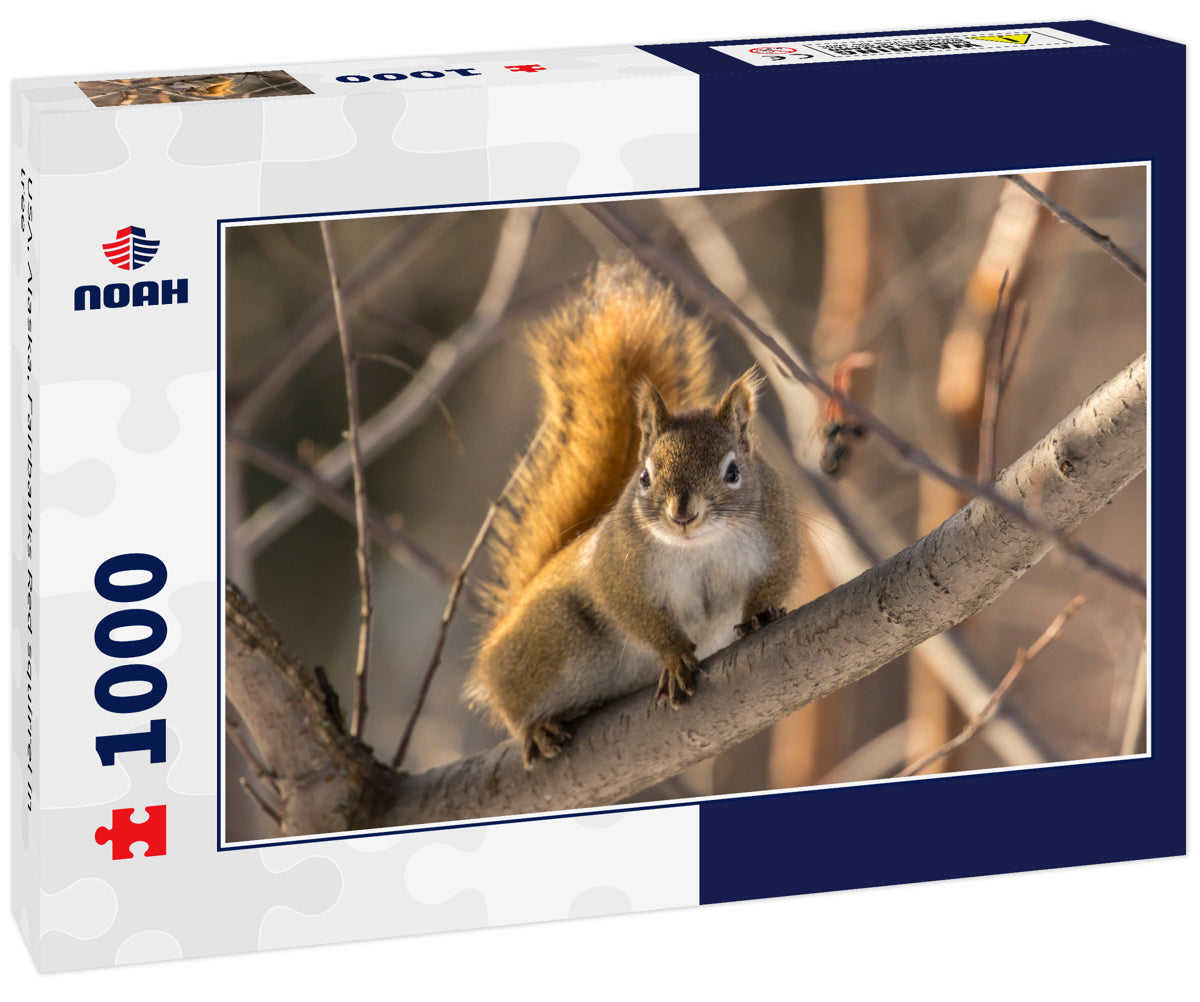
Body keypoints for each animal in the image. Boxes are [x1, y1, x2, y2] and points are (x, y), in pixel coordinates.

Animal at [465, 260, 801, 769]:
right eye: (644, 477)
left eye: (733, 471)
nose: (683, 514)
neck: (700, 548)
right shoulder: (618, 569)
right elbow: (636, 613)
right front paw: (675, 657)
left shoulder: (778, 535)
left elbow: (776, 578)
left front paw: (762, 613)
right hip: (550, 640)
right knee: (512, 704)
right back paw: (538, 726)